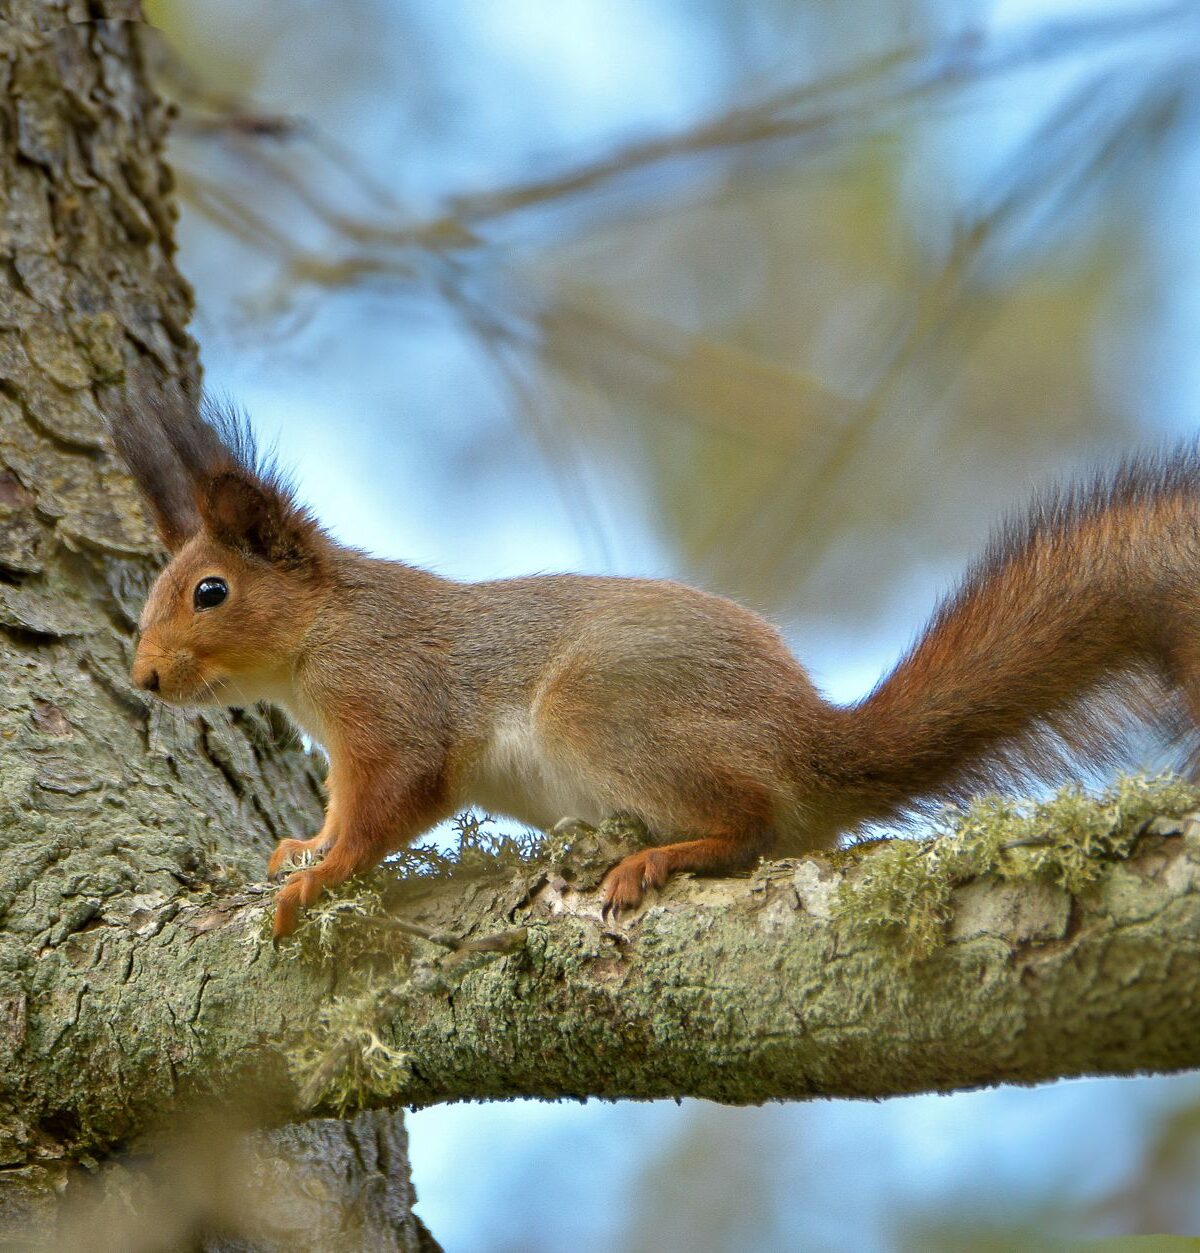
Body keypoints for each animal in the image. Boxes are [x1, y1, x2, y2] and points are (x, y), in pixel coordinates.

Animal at [108, 390, 1200, 939]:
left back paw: (665, 855)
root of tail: (812, 742)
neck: (321, 634)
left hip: (601, 710)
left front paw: (323, 873)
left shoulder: (391, 697)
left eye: (210, 591)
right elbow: (344, 807)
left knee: (753, 821)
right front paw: (303, 846)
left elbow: (392, 801)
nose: (145, 677)